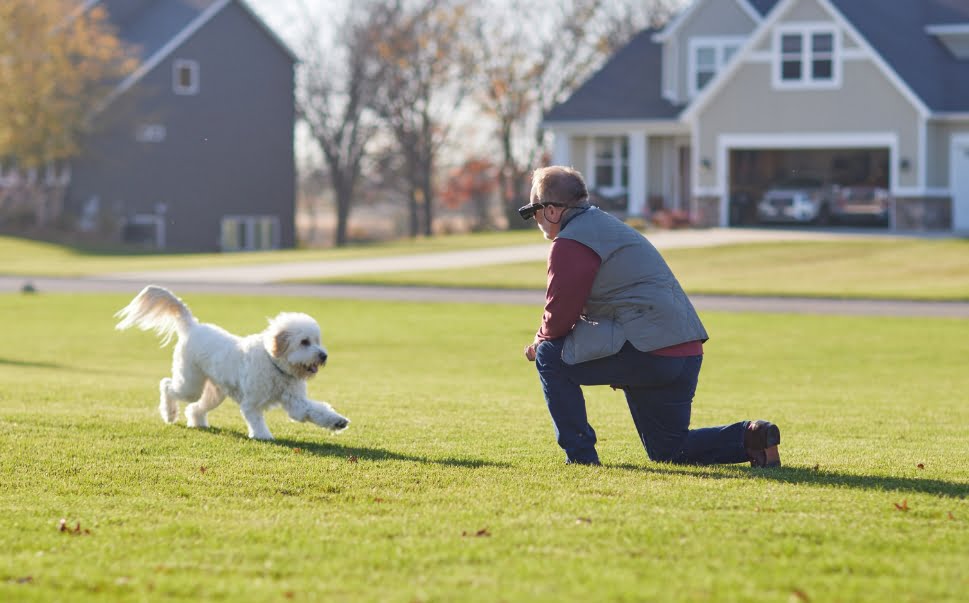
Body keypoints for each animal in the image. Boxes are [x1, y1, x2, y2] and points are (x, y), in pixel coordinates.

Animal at [115, 286, 348, 442]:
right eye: (304, 342)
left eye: (317, 340)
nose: (323, 356)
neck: (274, 365)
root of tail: (192, 326)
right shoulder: (251, 403)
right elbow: (257, 420)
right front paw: (263, 436)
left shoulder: (295, 402)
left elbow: (316, 411)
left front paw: (337, 421)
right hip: (190, 384)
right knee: (166, 385)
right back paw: (169, 413)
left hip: (214, 393)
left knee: (195, 407)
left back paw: (197, 422)